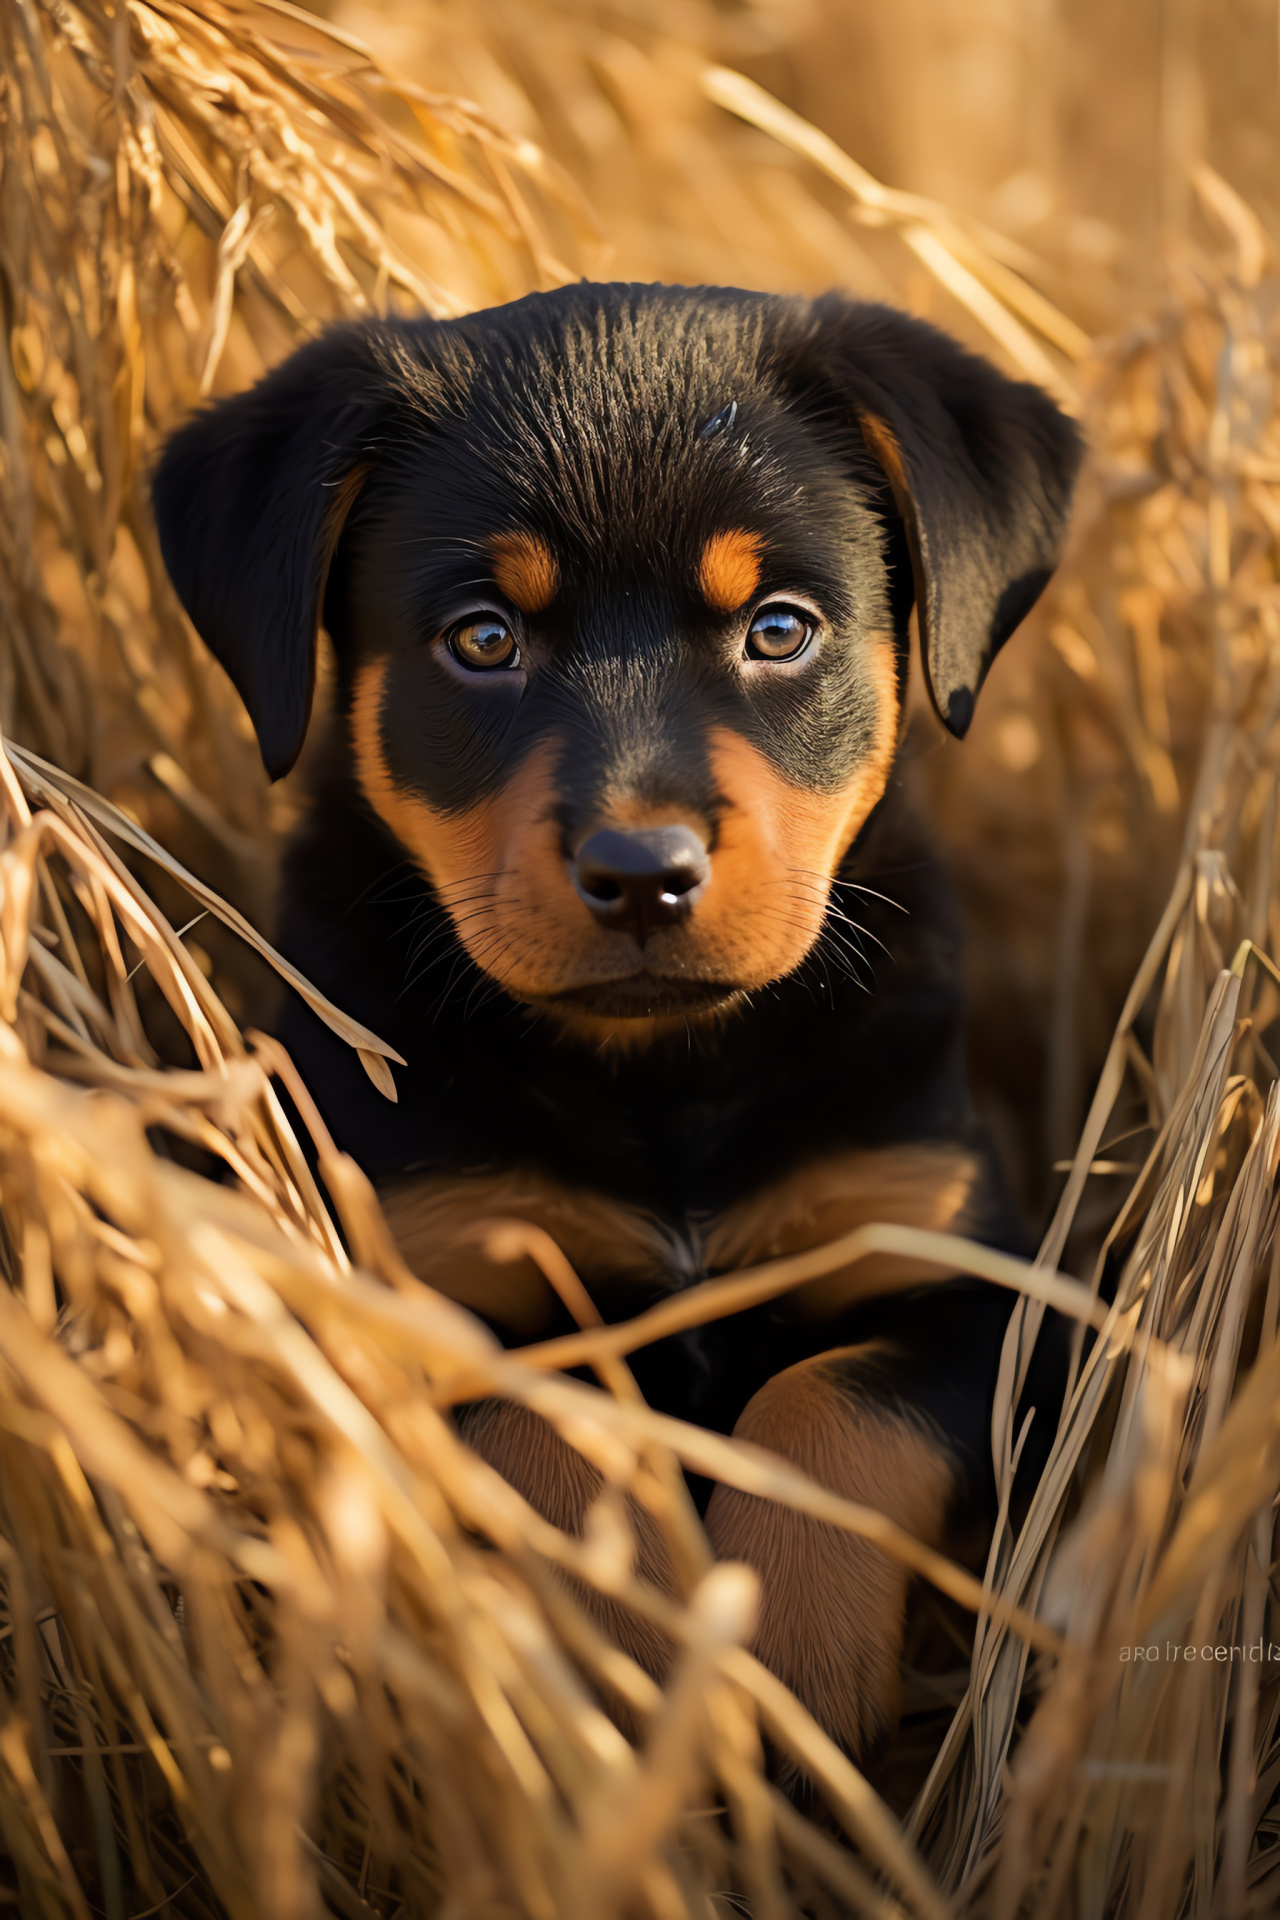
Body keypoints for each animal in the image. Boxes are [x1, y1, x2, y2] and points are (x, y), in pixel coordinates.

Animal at [155, 284, 1090, 1766]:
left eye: (780, 629)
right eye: (484, 638)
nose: (641, 870)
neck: (667, 1082)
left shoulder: (985, 1284)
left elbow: (826, 1404)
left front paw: (789, 1668)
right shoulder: (429, 1280)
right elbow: (560, 1431)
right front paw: (639, 1659)